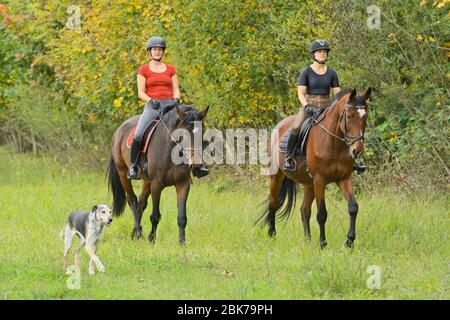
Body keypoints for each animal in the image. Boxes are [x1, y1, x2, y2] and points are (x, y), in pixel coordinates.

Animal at [107, 104, 209, 244]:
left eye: (202, 131)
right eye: (183, 134)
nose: (197, 163)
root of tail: (119, 130)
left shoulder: (183, 184)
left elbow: (182, 217)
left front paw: (182, 242)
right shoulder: (157, 184)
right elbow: (155, 215)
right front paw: (151, 239)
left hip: (147, 180)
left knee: (141, 203)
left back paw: (136, 233)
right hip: (123, 173)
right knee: (132, 200)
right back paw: (138, 232)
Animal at [258, 89, 370, 249]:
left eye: (365, 116)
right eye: (349, 116)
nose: (357, 150)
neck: (333, 143)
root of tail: (278, 126)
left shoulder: (344, 178)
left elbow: (353, 207)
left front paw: (349, 241)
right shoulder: (320, 180)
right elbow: (322, 213)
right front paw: (323, 243)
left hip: (308, 183)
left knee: (304, 210)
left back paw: (308, 241)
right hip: (277, 176)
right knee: (273, 202)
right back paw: (272, 234)